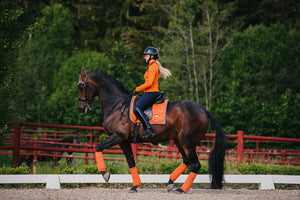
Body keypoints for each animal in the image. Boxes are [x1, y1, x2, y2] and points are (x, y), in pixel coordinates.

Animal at [77, 67, 225, 194]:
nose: (81, 108)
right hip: (179, 141)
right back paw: (170, 183)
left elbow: (98, 148)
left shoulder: (118, 136)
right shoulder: (124, 141)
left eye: (81, 86)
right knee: (186, 161)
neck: (117, 105)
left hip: (187, 142)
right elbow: (131, 161)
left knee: (195, 164)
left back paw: (182, 189)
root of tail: (204, 110)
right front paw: (135, 186)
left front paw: (105, 174)